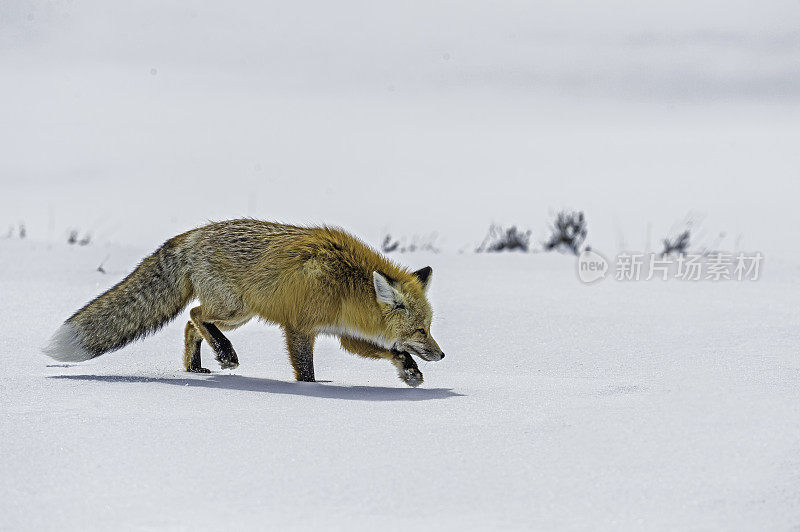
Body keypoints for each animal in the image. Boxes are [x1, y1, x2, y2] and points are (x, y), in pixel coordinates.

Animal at [42, 219, 444, 386]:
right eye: (420, 330)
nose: (441, 355)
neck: (345, 284)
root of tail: (191, 234)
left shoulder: (346, 334)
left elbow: (391, 351)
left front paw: (410, 372)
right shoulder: (300, 328)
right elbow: (306, 369)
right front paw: (312, 390)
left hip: (241, 314)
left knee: (189, 325)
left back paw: (195, 369)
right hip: (234, 308)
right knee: (195, 314)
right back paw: (224, 353)